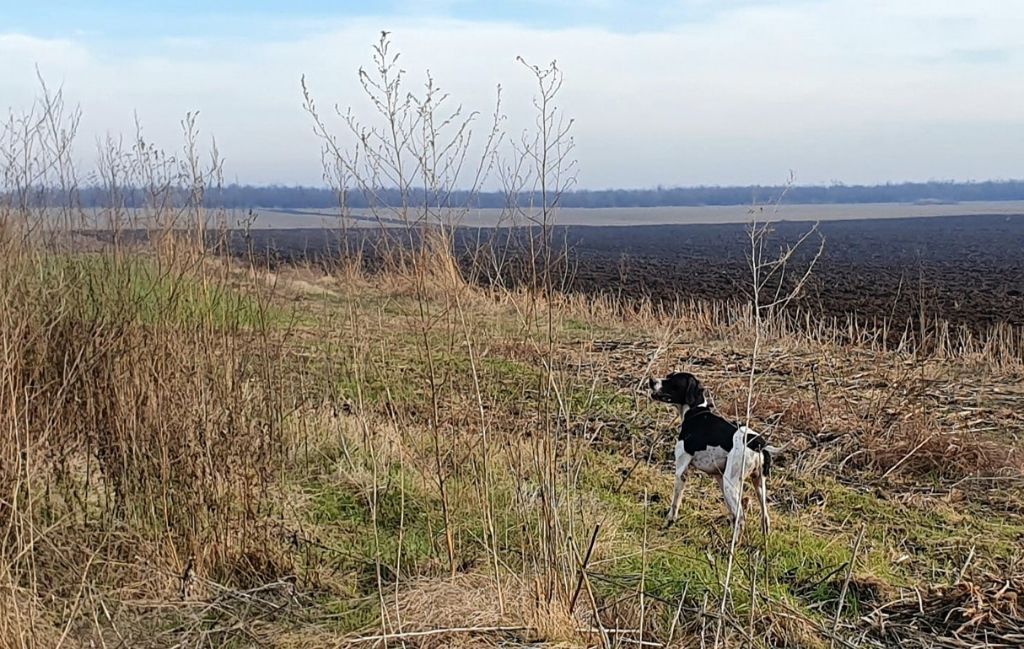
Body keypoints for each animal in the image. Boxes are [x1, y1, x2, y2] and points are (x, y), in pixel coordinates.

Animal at [647, 370, 774, 532]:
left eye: (672, 380)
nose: (651, 381)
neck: (696, 412)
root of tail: (757, 442)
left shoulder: (681, 471)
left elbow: (675, 503)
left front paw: (669, 521)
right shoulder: (718, 477)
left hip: (730, 484)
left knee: (741, 518)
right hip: (758, 484)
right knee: (764, 518)